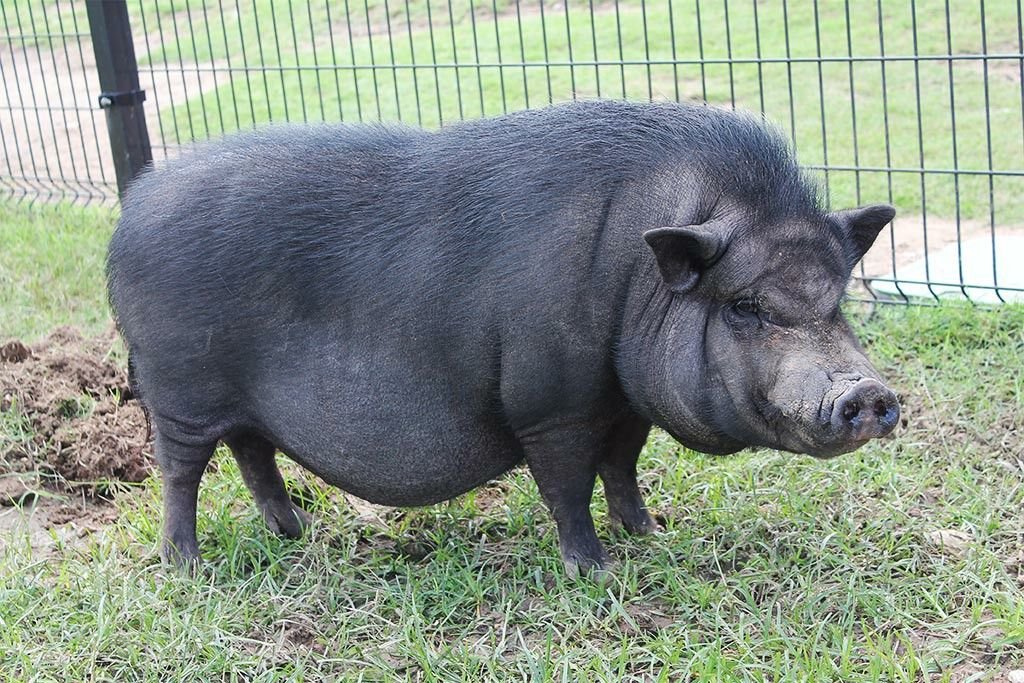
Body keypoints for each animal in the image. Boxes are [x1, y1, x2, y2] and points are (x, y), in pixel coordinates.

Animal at [107, 100, 900, 576]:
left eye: (837, 301)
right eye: (744, 306)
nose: (869, 393)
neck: (632, 274)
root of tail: (126, 220)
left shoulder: (623, 405)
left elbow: (623, 469)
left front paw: (651, 533)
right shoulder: (551, 402)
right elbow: (568, 485)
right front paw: (594, 570)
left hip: (237, 402)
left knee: (252, 451)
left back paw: (295, 531)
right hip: (178, 388)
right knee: (180, 473)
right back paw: (187, 564)